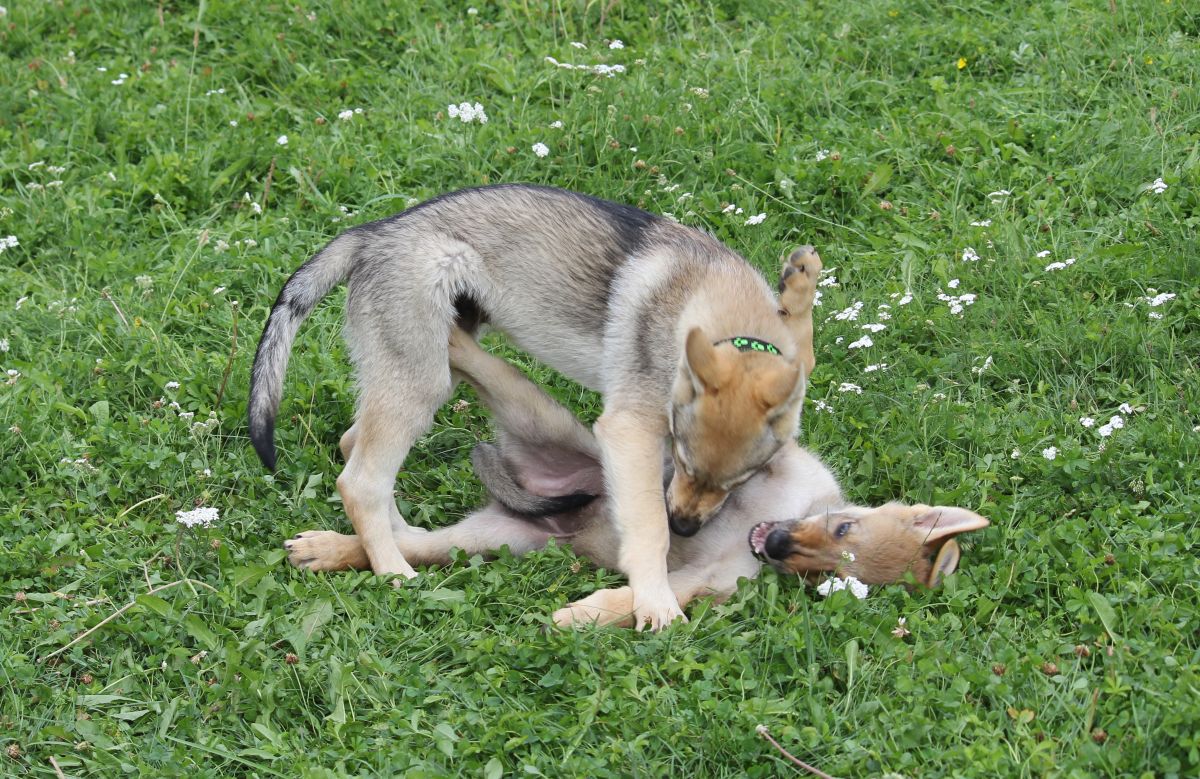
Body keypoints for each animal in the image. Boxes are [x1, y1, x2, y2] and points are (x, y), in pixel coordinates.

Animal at [250, 184, 816, 628]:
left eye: (742, 481)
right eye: (681, 459)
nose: (687, 531)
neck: (725, 318)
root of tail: (372, 232)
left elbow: (803, 346)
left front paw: (800, 283)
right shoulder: (631, 431)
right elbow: (648, 527)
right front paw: (656, 601)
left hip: (422, 371)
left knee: (356, 448)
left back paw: (389, 539)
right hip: (421, 381)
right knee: (361, 481)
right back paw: (393, 570)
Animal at [285, 326, 988, 624]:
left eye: (821, 578)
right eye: (841, 526)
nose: (778, 543)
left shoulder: (709, 583)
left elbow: (644, 596)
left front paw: (586, 615)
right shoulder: (779, 464)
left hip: (489, 540)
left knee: (404, 544)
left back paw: (328, 550)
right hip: (535, 409)